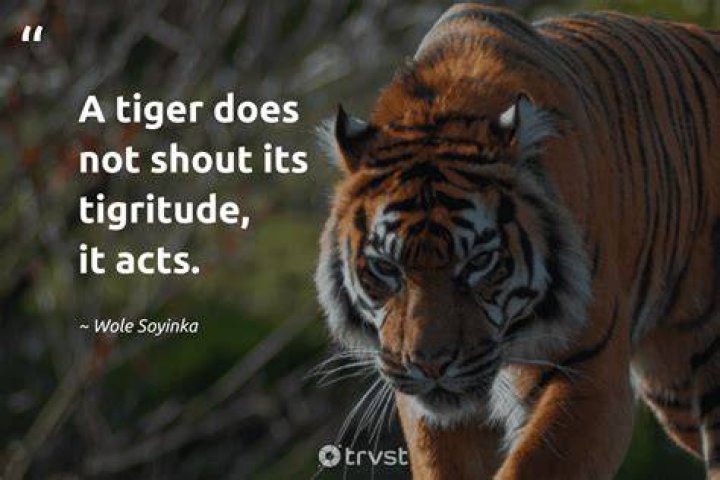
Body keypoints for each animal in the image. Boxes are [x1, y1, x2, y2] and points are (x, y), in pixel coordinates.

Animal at [315, 3, 720, 479]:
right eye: (386, 268)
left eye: (478, 262)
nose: (430, 365)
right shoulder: (422, 401)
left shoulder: (589, 375)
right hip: (673, 388)